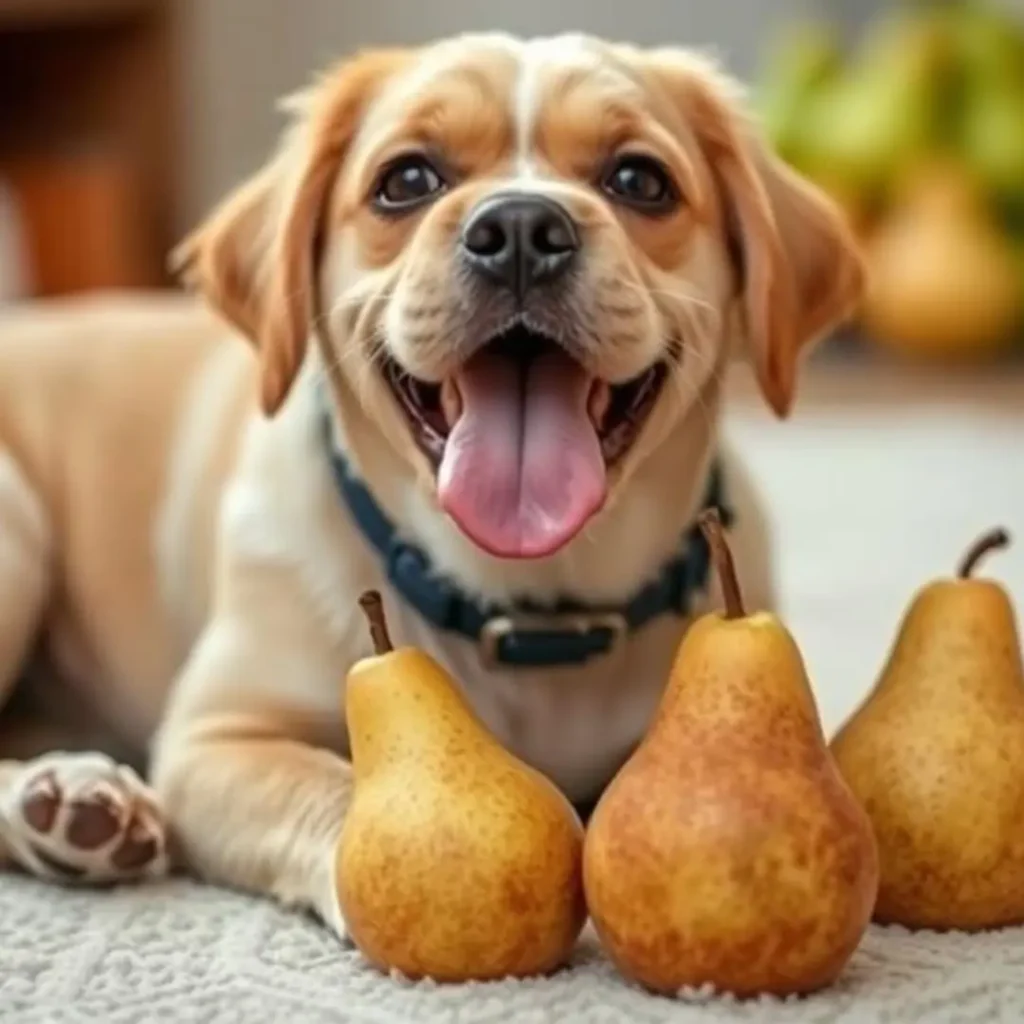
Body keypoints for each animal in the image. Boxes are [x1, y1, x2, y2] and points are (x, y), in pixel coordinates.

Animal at [0, 34, 864, 937]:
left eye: (640, 180)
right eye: (407, 180)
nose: (520, 227)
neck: (525, 603)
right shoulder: (215, 738)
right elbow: (333, 787)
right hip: (15, 531)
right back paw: (64, 797)